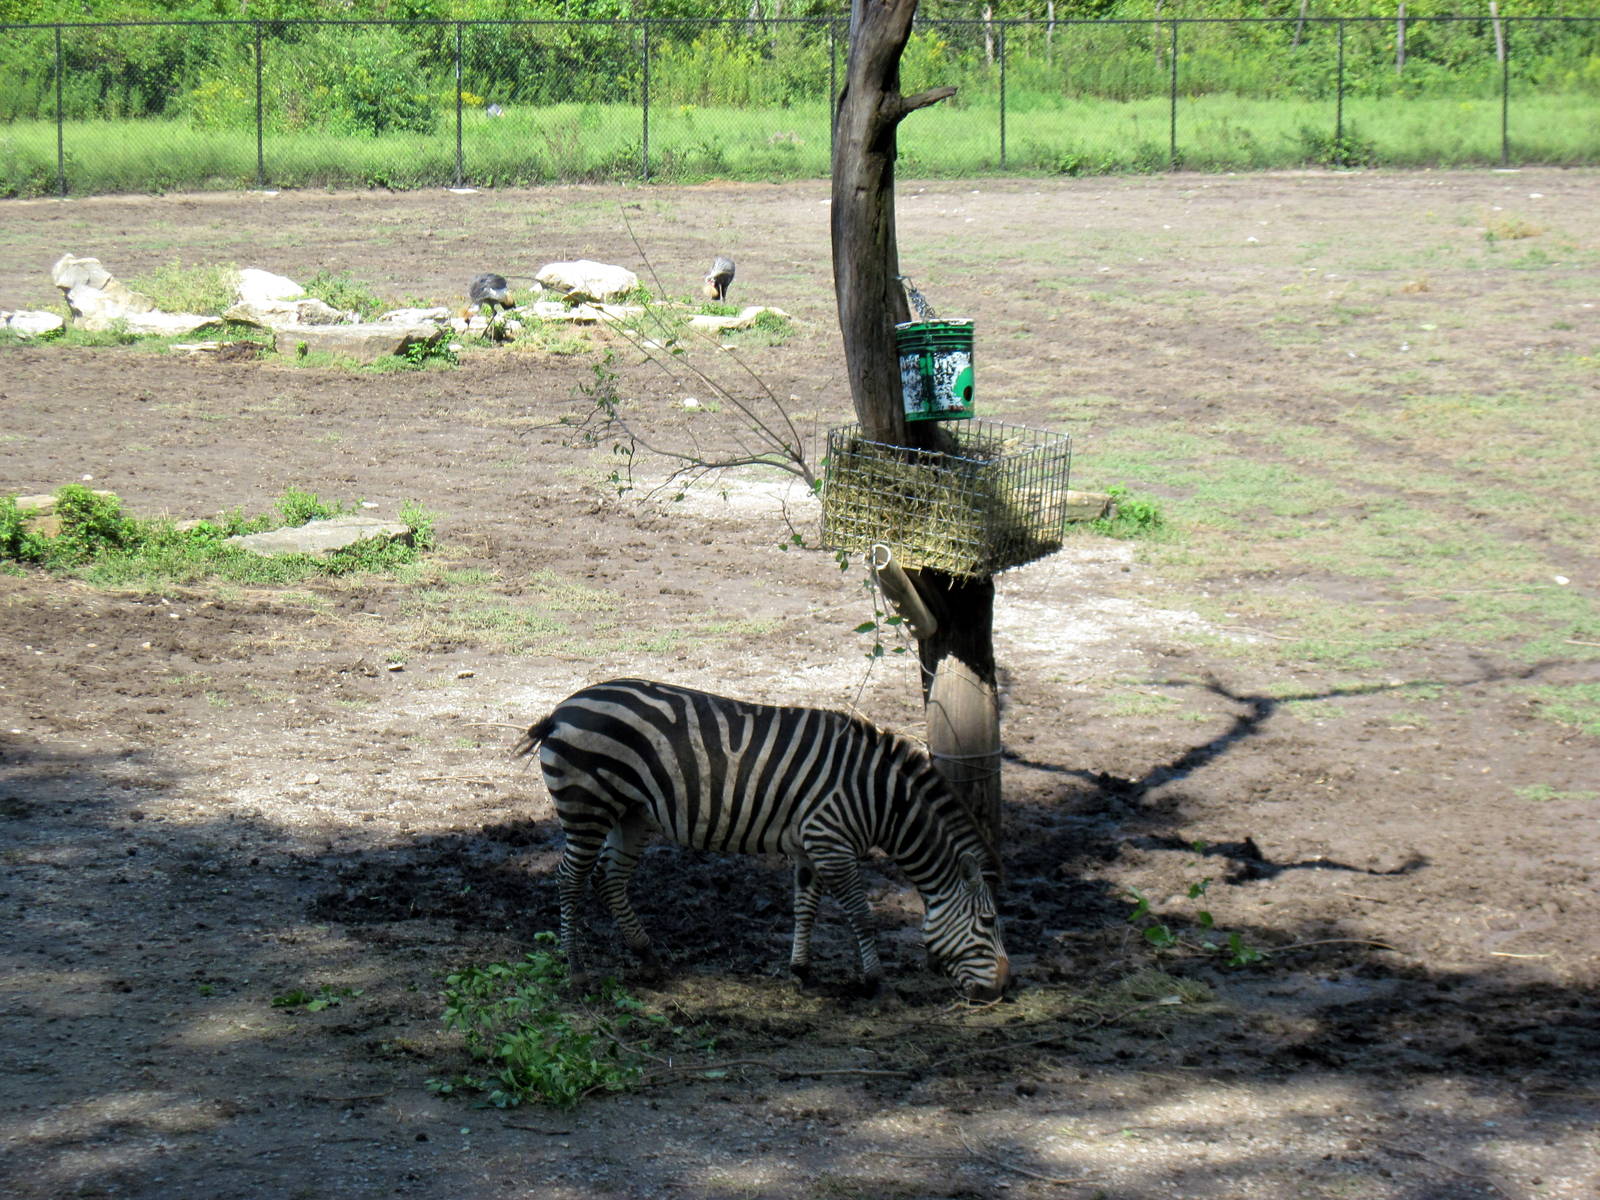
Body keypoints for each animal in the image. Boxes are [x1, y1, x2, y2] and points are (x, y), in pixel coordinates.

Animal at [512, 678, 1010, 1001]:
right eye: (988, 923)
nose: (1004, 988)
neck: (880, 798)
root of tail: (562, 710)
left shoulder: (811, 846)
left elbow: (805, 908)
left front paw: (801, 971)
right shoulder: (832, 840)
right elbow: (860, 914)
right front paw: (875, 981)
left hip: (631, 813)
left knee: (609, 878)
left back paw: (648, 957)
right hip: (587, 808)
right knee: (570, 879)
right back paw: (577, 971)